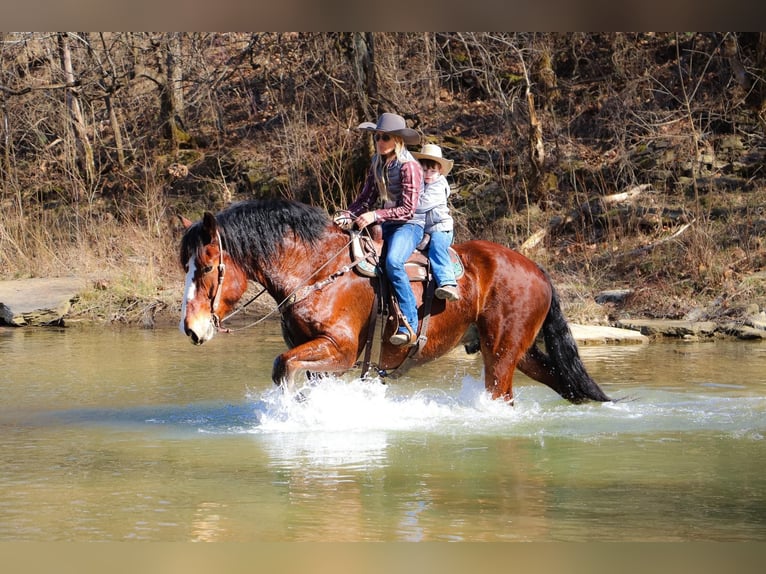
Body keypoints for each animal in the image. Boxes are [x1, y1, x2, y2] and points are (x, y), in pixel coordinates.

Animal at [180, 200, 612, 408]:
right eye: (185, 266)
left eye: (207, 266)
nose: (191, 328)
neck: (316, 272)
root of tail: (537, 270)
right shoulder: (315, 355)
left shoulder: (340, 350)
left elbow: (281, 366)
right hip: (519, 351)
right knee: (563, 382)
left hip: (502, 353)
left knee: (502, 394)